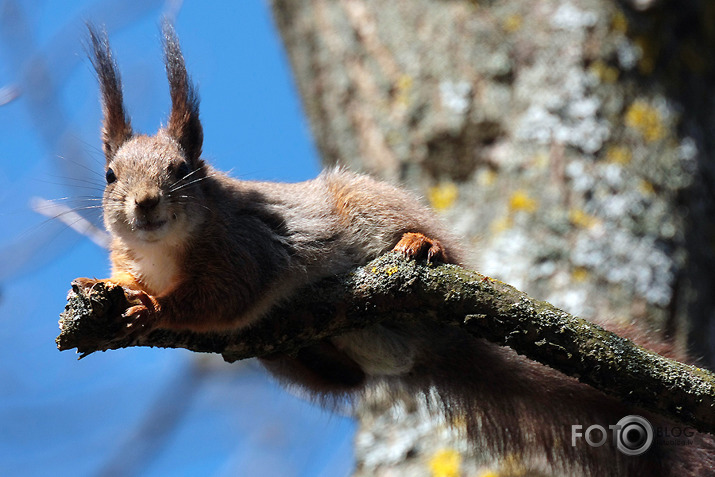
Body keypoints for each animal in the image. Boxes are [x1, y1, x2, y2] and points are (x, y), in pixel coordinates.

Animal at [78, 24, 715, 474]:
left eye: (182, 171)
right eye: (109, 176)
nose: (145, 205)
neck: (164, 251)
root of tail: (443, 348)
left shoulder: (246, 248)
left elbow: (223, 298)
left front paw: (156, 308)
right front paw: (115, 286)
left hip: (376, 205)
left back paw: (421, 243)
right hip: (293, 357)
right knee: (338, 378)